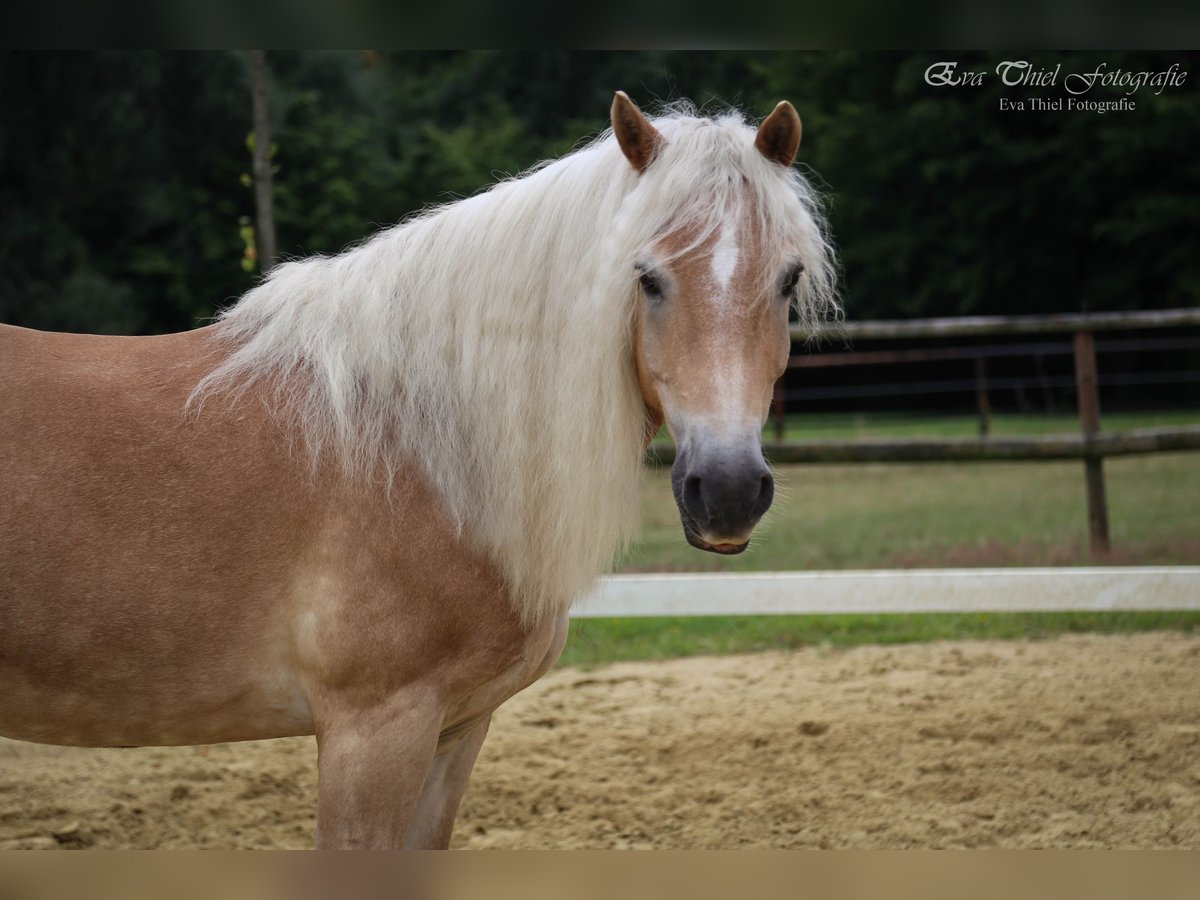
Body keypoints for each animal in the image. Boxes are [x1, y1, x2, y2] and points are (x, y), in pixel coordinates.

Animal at [0, 95, 835, 849]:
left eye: (787, 279)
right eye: (649, 278)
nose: (727, 492)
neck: (418, 448)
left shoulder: (456, 729)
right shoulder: (373, 731)